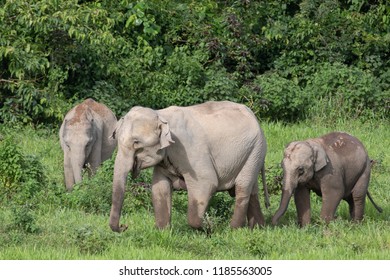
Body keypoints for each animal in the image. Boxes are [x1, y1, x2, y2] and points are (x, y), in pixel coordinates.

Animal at [109, 100, 268, 232]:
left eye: (136, 143)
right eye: (116, 138)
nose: (124, 226)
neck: (161, 115)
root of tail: (253, 115)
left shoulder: (190, 151)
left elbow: (206, 183)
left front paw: (207, 228)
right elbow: (159, 187)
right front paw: (163, 231)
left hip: (255, 150)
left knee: (242, 188)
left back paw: (234, 229)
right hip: (252, 154)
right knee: (252, 190)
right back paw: (258, 228)